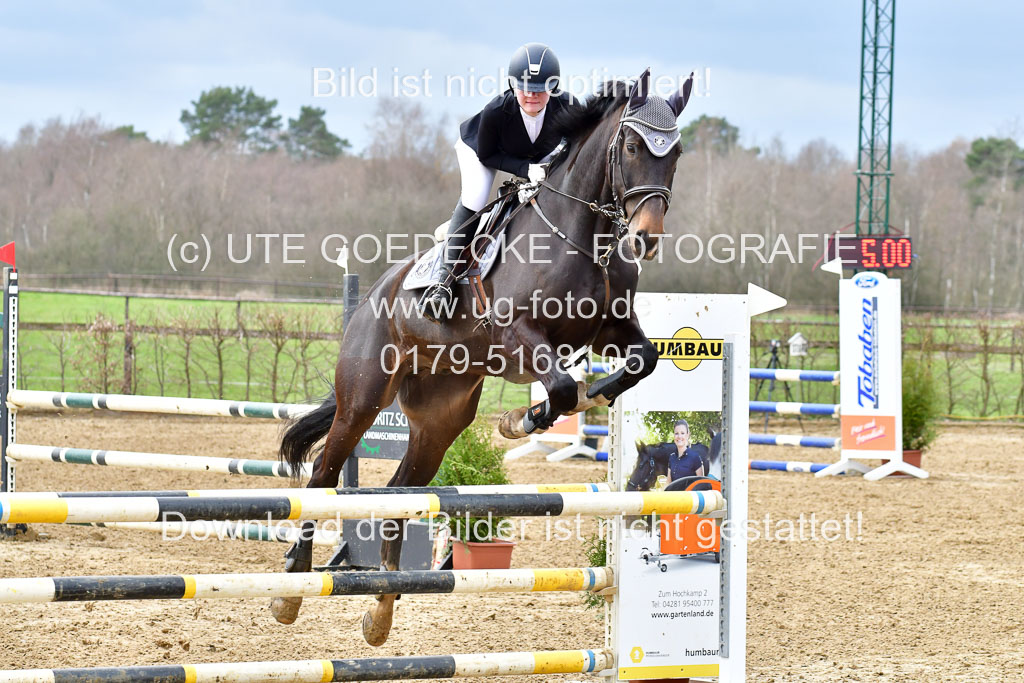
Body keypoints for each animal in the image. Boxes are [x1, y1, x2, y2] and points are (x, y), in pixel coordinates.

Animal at [269, 68, 695, 646]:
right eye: (631, 146)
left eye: (676, 153)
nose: (646, 238)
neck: (584, 236)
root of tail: (374, 293)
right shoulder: (518, 334)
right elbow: (560, 387)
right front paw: (525, 419)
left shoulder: (610, 330)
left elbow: (642, 361)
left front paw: (573, 404)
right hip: (362, 397)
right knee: (321, 476)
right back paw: (291, 587)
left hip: (439, 419)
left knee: (401, 492)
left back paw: (382, 607)